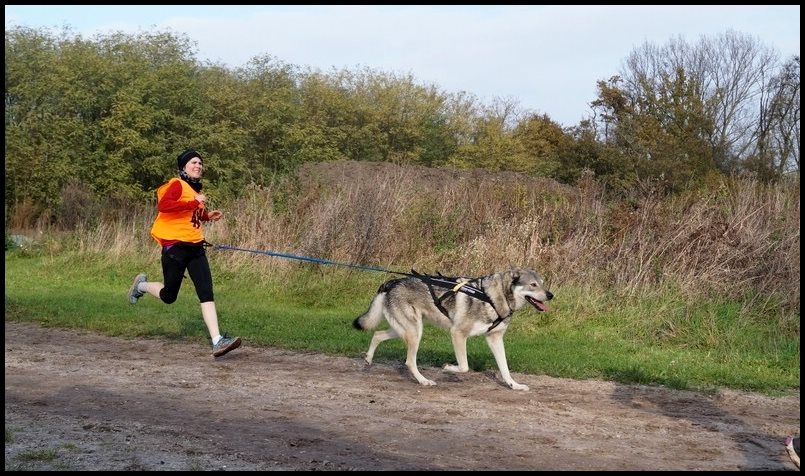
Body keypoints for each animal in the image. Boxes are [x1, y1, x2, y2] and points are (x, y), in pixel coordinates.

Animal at [354, 268, 552, 390]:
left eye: (542, 283)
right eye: (533, 285)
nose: (551, 295)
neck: (492, 298)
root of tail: (392, 282)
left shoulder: (495, 339)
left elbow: (505, 369)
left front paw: (514, 385)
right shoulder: (458, 333)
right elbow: (464, 366)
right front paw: (449, 368)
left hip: (405, 330)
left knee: (377, 334)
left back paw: (368, 360)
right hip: (414, 332)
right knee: (409, 361)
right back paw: (424, 381)